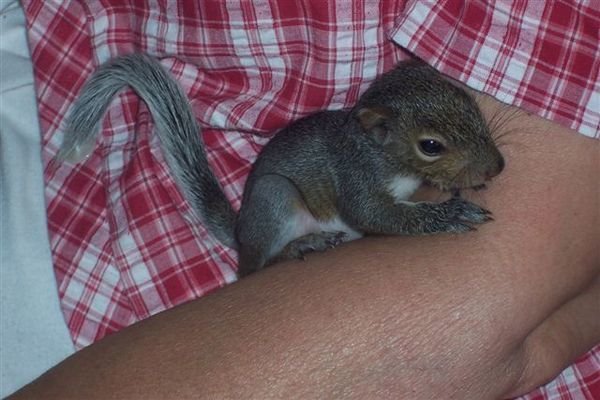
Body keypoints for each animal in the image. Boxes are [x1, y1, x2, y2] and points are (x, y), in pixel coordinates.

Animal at [56, 54, 505, 277]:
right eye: (430, 146)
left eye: (467, 99)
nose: (496, 168)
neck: (382, 153)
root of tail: (241, 234)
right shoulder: (356, 177)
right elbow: (374, 213)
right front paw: (449, 213)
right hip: (274, 198)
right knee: (255, 269)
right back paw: (300, 245)